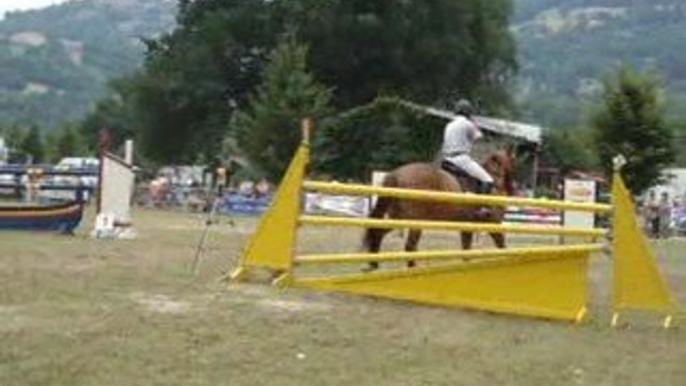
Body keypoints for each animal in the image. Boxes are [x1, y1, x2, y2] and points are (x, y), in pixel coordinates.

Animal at [360, 149, 516, 270]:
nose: (512, 190)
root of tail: (397, 174)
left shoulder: (467, 227)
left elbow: (466, 251)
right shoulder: (494, 224)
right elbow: (501, 245)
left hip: (398, 218)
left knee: (378, 233)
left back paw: (373, 264)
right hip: (414, 222)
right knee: (409, 246)